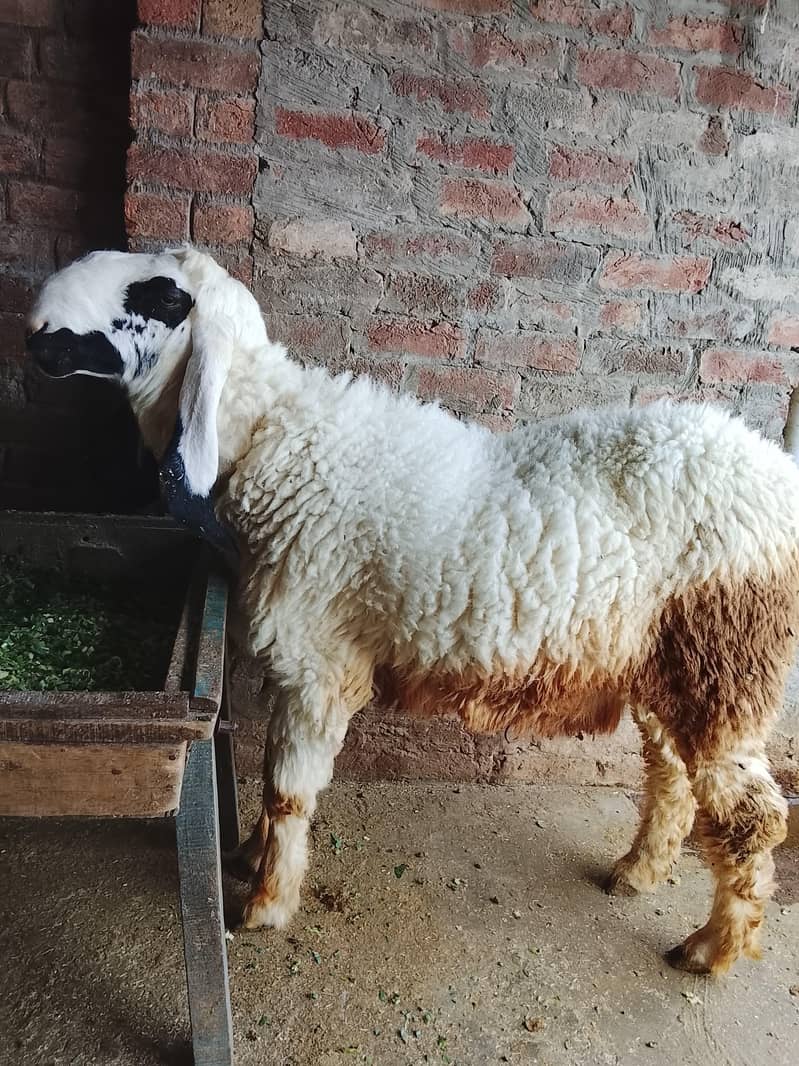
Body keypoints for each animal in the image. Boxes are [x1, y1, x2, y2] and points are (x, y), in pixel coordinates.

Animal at [27, 246, 799, 976]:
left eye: (162, 297)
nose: (36, 327)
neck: (273, 441)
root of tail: (772, 468)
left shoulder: (320, 662)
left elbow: (287, 791)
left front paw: (266, 902)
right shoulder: (303, 661)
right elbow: (277, 775)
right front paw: (251, 855)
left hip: (731, 657)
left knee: (751, 817)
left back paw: (712, 948)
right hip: (671, 661)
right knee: (672, 778)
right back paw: (638, 872)